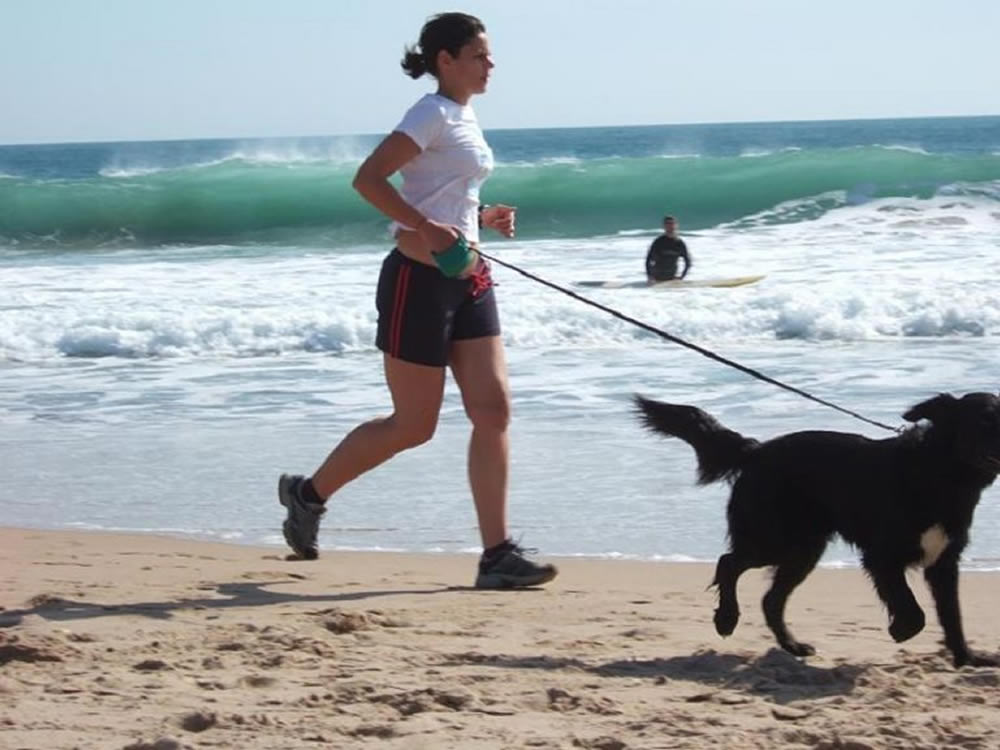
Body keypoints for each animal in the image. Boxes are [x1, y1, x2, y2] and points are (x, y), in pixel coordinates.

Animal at [636, 394, 996, 668]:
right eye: (981, 423)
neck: (940, 474)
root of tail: (756, 451)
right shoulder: (882, 556)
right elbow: (914, 611)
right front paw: (901, 630)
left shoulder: (944, 563)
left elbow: (952, 615)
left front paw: (967, 658)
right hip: (775, 539)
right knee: (729, 563)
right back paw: (727, 618)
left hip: (803, 549)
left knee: (770, 599)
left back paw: (792, 646)